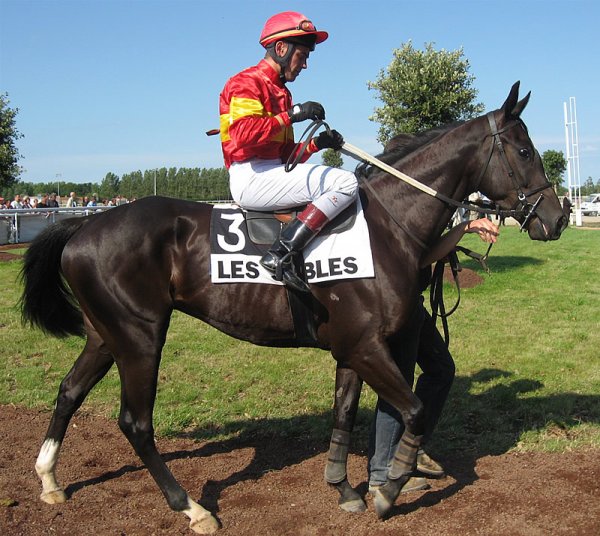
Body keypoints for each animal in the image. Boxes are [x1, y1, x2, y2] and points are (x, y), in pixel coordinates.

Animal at [19, 81, 568, 532]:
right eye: (524, 149)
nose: (557, 217)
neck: (389, 224)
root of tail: (85, 224)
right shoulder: (366, 347)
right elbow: (410, 410)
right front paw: (389, 488)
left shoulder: (353, 348)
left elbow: (344, 414)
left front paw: (345, 488)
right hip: (140, 337)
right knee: (135, 422)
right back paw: (191, 507)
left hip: (105, 333)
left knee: (69, 391)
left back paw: (49, 479)